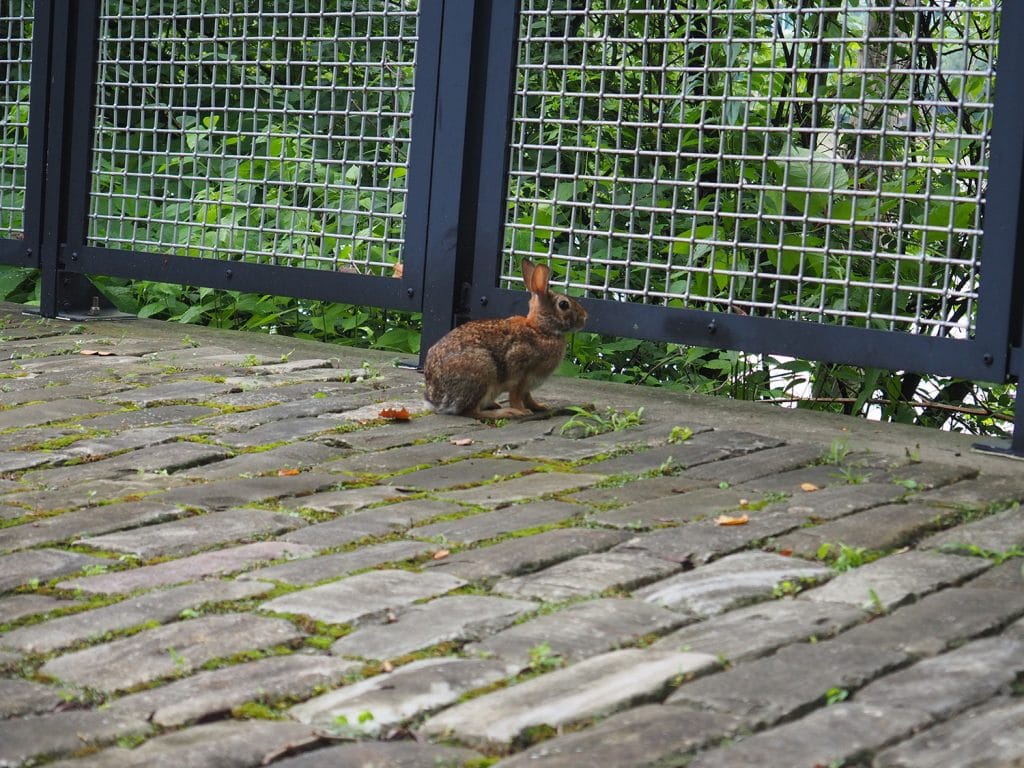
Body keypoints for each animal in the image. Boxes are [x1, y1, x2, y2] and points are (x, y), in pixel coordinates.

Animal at [424, 258, 587, 419]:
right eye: (564, 304)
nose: (585, 318)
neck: (541, 329)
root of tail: (434, 399)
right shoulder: (520, 372)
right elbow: (515, 396)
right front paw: (523, 411)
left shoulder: (528, 383)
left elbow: (528, 397)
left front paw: (540, 406)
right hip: (483, 372)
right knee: (471, 412)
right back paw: (505, 412)